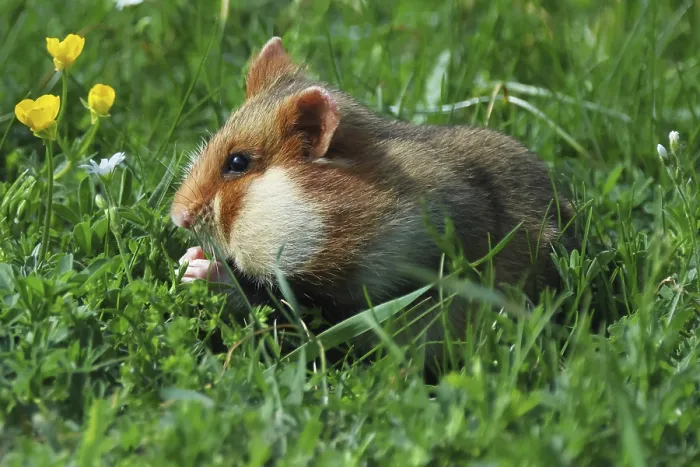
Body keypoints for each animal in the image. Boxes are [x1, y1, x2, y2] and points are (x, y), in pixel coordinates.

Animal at [171, 36, 576, 356]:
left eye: (238, 162)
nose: (178, 217)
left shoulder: (356, 282)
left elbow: (274, 301)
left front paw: (197, 268)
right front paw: (188, 257)